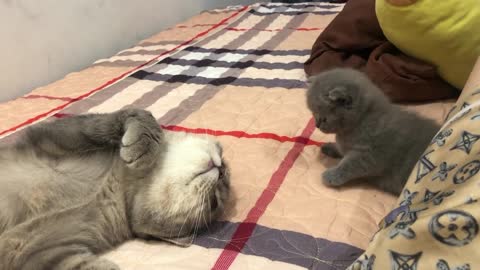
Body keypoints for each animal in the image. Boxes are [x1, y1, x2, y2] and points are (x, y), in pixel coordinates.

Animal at [0, 109, 231, 270]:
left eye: (213, 202)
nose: (222, 172)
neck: (117, 187)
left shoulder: (37, 251)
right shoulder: (58, 136)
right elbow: (131, 115)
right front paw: (143, 147)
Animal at [308, 68, 438, 195]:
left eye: (323, 118)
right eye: (314, 114)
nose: (316, 125)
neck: (363, 119)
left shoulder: (370, 155)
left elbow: (349, 165)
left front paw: (332, 175)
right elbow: (341, 149)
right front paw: (330, 147)